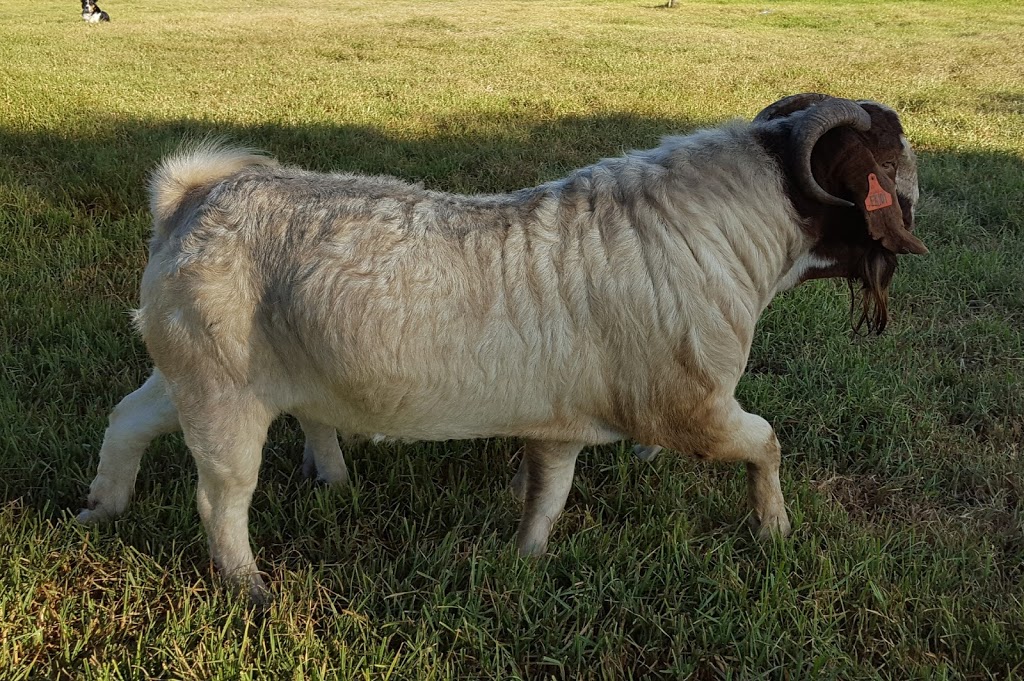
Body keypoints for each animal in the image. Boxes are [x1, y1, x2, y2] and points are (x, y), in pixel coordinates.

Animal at [83, 93, 925, 598]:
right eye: (890, 161)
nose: (920, 222)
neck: (722, 229)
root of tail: (189, 198)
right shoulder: (693, 410)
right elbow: (767, 442)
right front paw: (775, 529)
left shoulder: (560, 423)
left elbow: (547, 494)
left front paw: (526, 559)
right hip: (222, 391)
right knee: (220, 496)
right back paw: (249, 585)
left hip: (188, 369)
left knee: (126, 419)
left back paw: (102, 509)